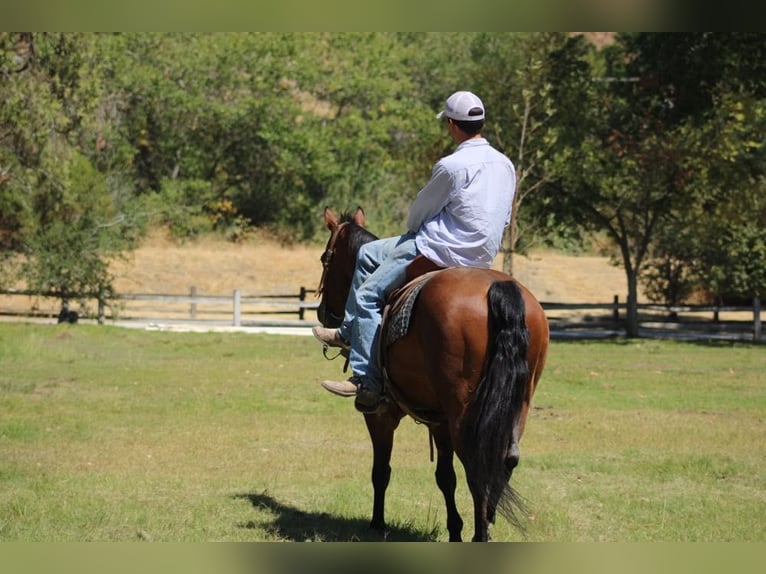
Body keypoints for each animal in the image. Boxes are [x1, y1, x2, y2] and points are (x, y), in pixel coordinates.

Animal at [315, 207, 549, 542]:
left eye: (325, 258)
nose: (323, 313)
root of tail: (499, 290)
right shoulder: (439, 419)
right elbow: (445, 476)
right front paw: (454, 530)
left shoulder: (381, 414)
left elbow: (381, 470)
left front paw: (377, 524)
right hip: (518, 404)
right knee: (505, 459)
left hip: (464, 412)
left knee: (478, 465)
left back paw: (481, 536)